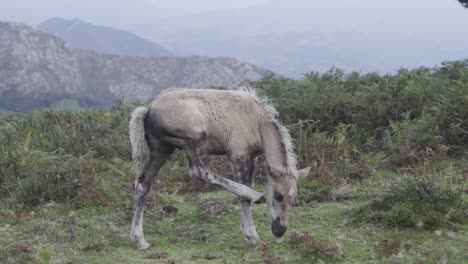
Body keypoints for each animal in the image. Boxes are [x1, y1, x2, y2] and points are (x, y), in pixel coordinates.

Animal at [129, 87, 310, 250]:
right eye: (278, 195)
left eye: (293, 197)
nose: (280, 230)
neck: (257, 122)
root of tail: (149, 109)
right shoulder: (238, 155)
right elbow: (243, 194)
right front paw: (251, 234)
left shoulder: (252, 157)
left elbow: (248, 185)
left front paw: (245, 228)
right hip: (195, 139)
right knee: (199, 171)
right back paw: (257, 196)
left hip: (161, 149)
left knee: (143, 183)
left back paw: (139, 240)